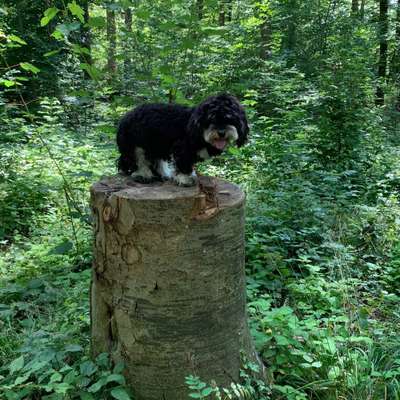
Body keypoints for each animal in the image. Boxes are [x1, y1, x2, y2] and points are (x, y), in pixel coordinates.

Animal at [115, 94, 248, 186]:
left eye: (230, 119)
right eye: (211, 119)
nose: (221, 132)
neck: (196, 126)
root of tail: (126, 116)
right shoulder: (182, 148)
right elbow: (184, 163)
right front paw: (186, 179)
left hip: (157, 144)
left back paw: (163, 174)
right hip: (136, 145)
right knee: (139, 160)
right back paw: (143, 175)